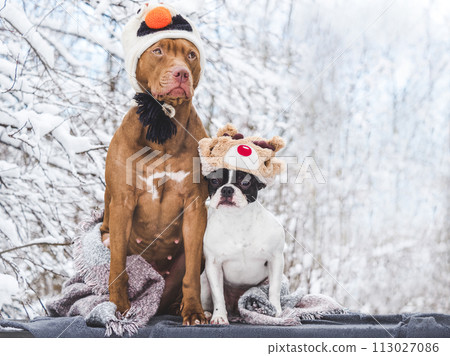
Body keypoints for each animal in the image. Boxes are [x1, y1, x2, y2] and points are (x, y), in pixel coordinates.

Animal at [100, 38, 207, 326]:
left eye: (191, 55)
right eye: (157, 51)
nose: (182, 73)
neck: (164, 127)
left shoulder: (195, 207)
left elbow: (191, 274)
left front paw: (194, 311)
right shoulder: (122, 204)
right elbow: (117, 266)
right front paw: (117, 308)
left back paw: (177, 306)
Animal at [201, 168, 284, 324]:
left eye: (245, 183)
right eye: (214, 180)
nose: (227, 189)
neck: (237, 219)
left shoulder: (275, 259)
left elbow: (274, 289)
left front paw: (275, 311)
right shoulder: (213, 265)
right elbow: (217, 295)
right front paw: (219, 316)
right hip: (203, 283)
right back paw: (206, 314)